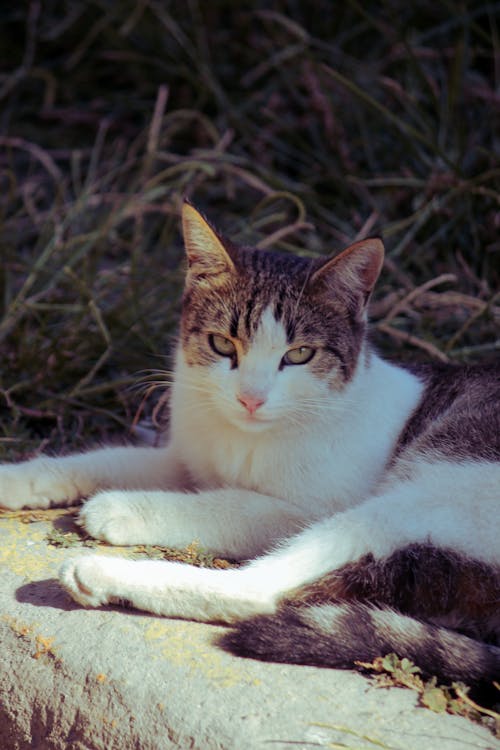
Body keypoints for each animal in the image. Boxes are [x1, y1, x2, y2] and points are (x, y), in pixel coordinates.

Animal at [0, 203, 500, 696]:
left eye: (299, 355)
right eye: (223, 343)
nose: (251, 398)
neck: (244, 438)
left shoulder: (302, 509)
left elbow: (222, 505)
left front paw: (118, 508)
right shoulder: (185, 459)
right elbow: (108, 458)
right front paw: (16, 478)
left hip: (425, 490)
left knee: (265, 590)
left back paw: (101, 574)